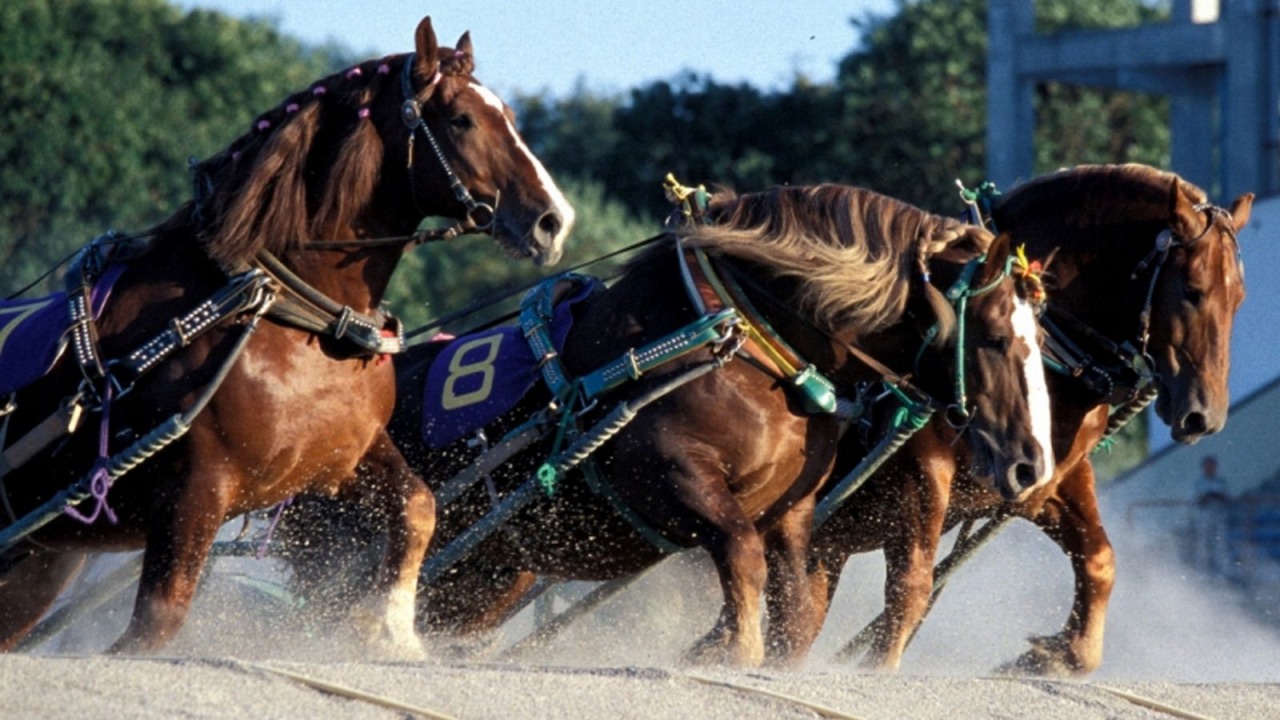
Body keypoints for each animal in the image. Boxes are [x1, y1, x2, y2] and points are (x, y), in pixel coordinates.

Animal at [0, 16, 576, 655]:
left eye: (510, 116)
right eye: (461, 120)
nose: (554, 220)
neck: (294, 317)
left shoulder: (342, 462)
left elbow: (418, 504)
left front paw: (389, 627)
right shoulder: (194, 493)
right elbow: (156, 625)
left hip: (36, 563)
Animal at [299, 181, 1049, 666]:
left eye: (1035, 337)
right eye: (991, 336)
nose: (1029, 462)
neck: (743, 340)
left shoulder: (793, 511)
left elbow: (796, 605)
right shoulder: (670, 477)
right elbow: (741, 555)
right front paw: (729, 648)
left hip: (484, 576)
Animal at [768, 162, 1249, 671]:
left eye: (1239, 296)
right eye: (1193, 291)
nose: (1205, 415)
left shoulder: (1047, 481)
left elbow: (1099, 561)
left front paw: (1055, 655)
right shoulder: (922, 474)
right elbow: (911, 588)